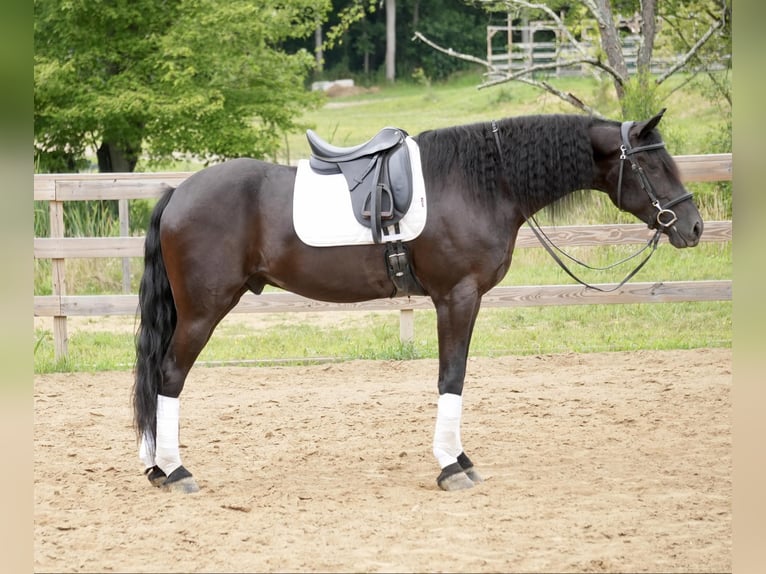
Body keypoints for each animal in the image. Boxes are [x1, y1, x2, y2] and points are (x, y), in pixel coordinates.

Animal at [132, 109, 703, 493]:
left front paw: (460, 458)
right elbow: (452, 377)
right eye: (654, 166)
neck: (482, 182)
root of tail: (178, 194)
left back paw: (158, 468)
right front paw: (451, 465)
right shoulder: (456, 298)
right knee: (170, 376)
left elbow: (456, 375)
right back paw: (175, 470)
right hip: (203, 311)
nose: (694, 226)